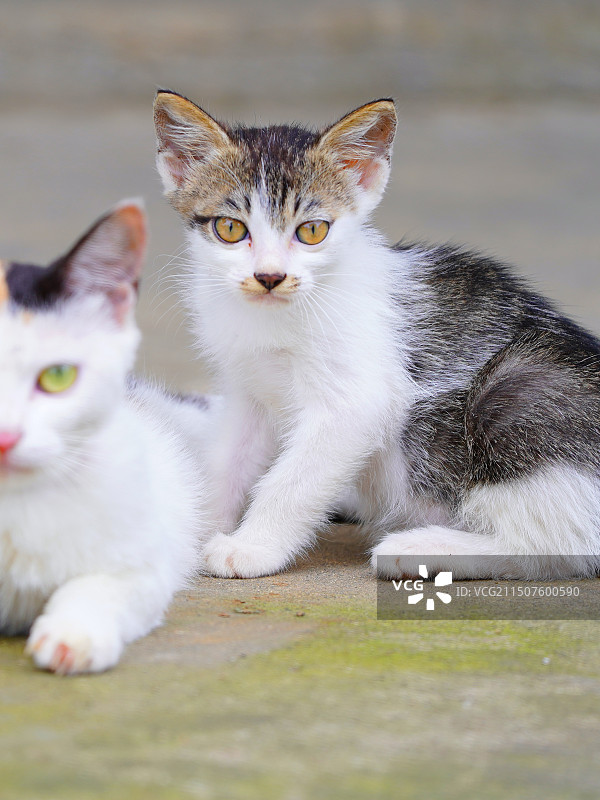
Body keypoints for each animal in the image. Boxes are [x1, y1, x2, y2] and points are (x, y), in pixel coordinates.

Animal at [154, 92, 600, 580]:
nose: (269, 277)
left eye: (312, 231)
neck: (274, 317)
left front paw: (253, 547)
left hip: (518, 390)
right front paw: (195, 527)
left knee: (566, 542)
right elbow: (228, 459)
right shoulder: (247, 387)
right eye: (231, 228)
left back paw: (423, 546)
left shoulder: (356, 400)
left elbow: (294, 479)